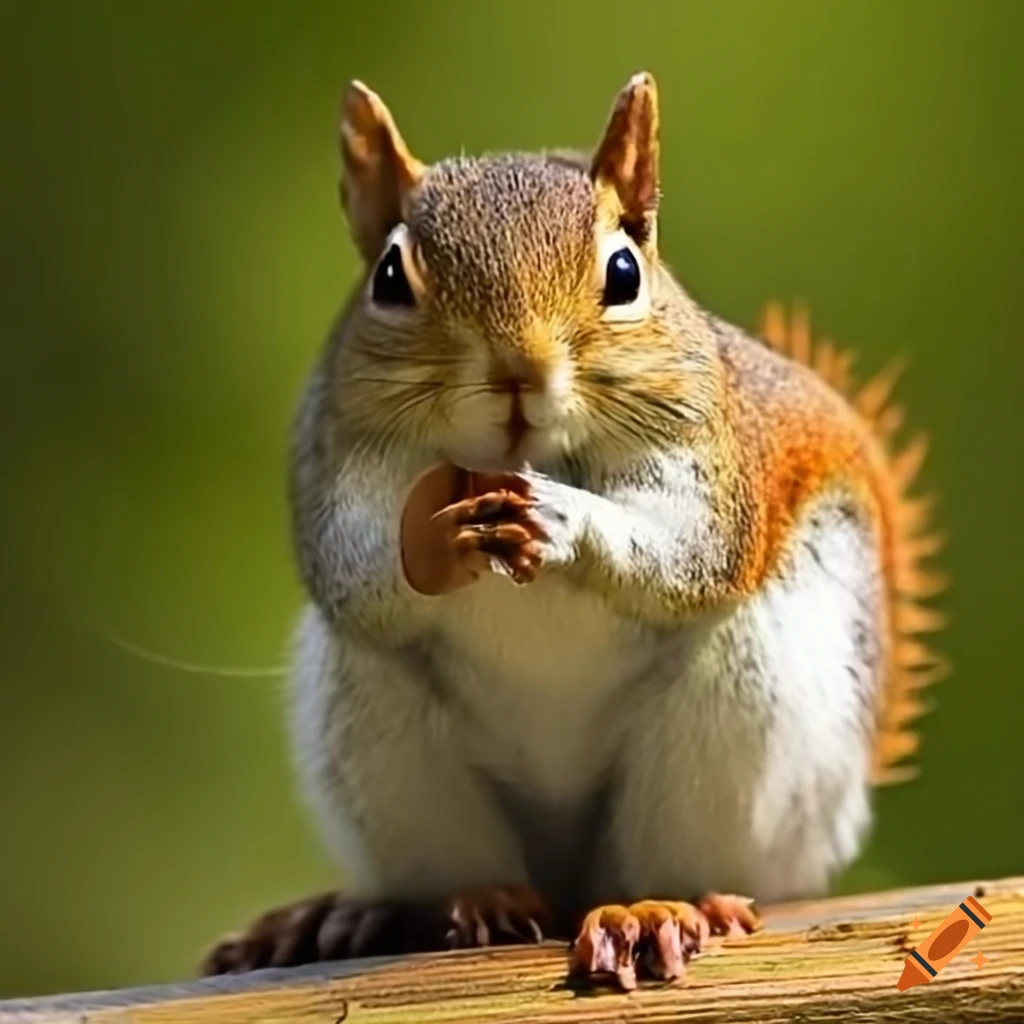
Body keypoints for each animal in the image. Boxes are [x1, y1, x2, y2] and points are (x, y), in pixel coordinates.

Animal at [202, 72, 946, 990]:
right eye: (390, 277)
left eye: (625, 270)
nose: (518, 370)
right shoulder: (329, 459)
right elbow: (353, 567)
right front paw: (431, 543)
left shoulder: (714, 455)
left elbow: (689, 550)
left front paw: (566, 519)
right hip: (378, 723)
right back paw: (439, 905)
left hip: (744, 724)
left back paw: (655, 909)